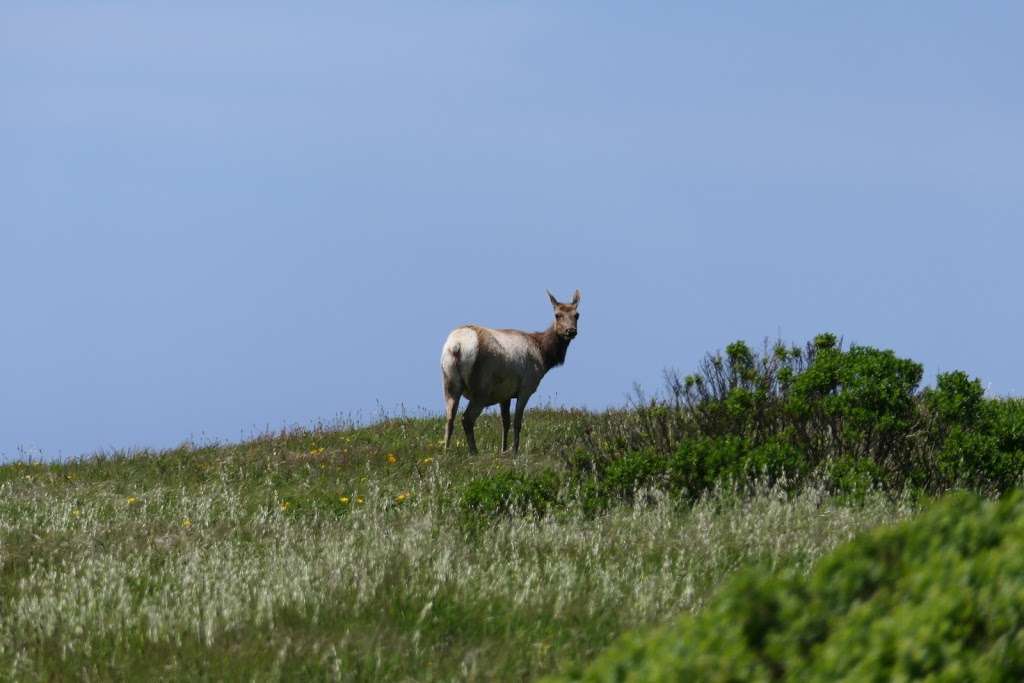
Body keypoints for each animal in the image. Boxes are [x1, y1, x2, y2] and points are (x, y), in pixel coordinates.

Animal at [442, 288, 585, 454]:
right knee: (466, 419)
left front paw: (503, 450)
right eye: (557, 315)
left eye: (577, 314)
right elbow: (517, 422)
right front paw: (515, 451)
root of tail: (457, 345)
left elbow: (505, 422)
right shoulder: (526, 387)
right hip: (481, 388)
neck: (544, 356)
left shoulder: (505, 394)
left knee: (449, 418)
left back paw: (446, 451)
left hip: (449, 382)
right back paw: (474, 453)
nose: (571, 331)